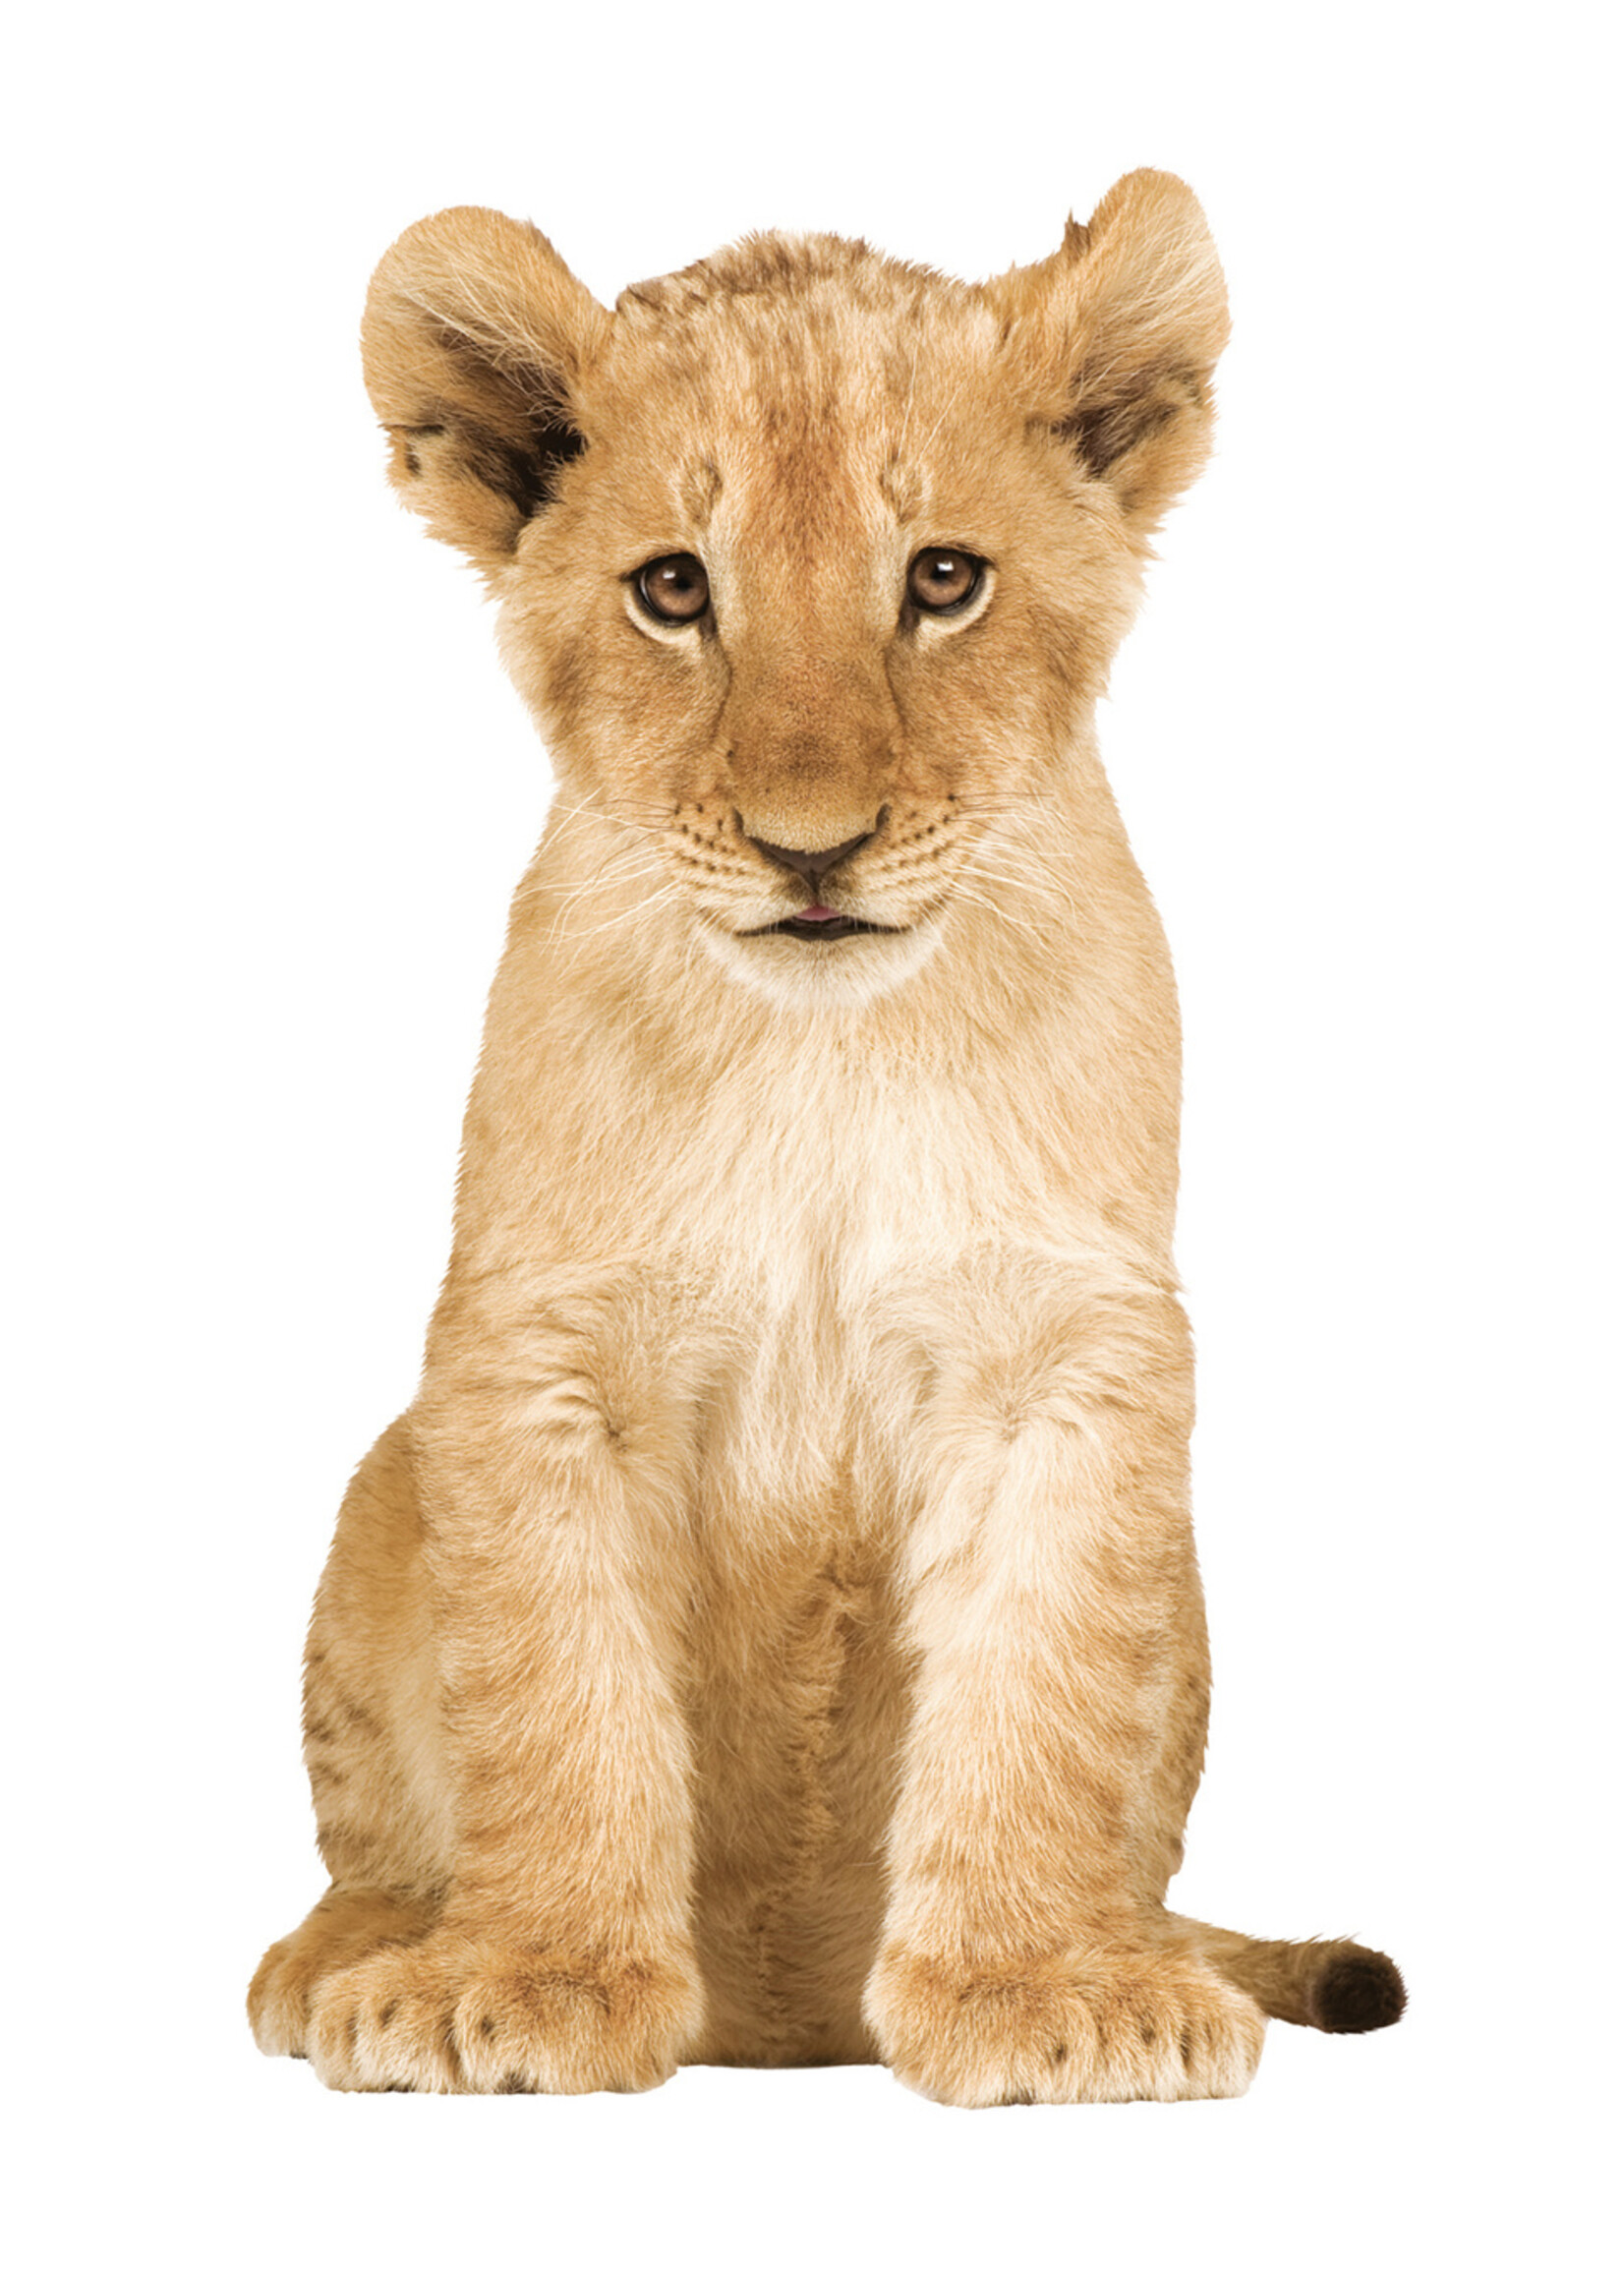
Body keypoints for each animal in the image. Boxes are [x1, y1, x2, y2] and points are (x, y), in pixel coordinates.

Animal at [247, 171, 1403, 2102]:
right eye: (672, 589)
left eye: (941, 578)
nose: (812, 847)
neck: (824, 1058)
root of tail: (783, 2028)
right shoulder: (539, 1347)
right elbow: (548, 1683)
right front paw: (533, 1976)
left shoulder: (1065, 1351)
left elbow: (1044, 1687)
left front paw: (1038, 1985)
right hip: (377, 1485)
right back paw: (356, 1949)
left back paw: (1149, 1948)